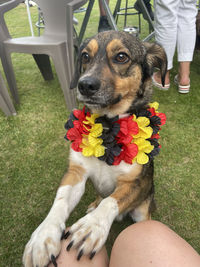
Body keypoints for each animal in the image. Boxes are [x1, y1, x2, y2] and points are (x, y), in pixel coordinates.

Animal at [23, 30, 167, 266]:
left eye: (121, 56)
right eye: (85, 56)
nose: (84, 85)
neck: (107, 127)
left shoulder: (134, 182)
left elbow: (111, 201)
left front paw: (91, 227)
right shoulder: (76, 173)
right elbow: (59, 202)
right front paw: (43, 237)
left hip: (143, 208)